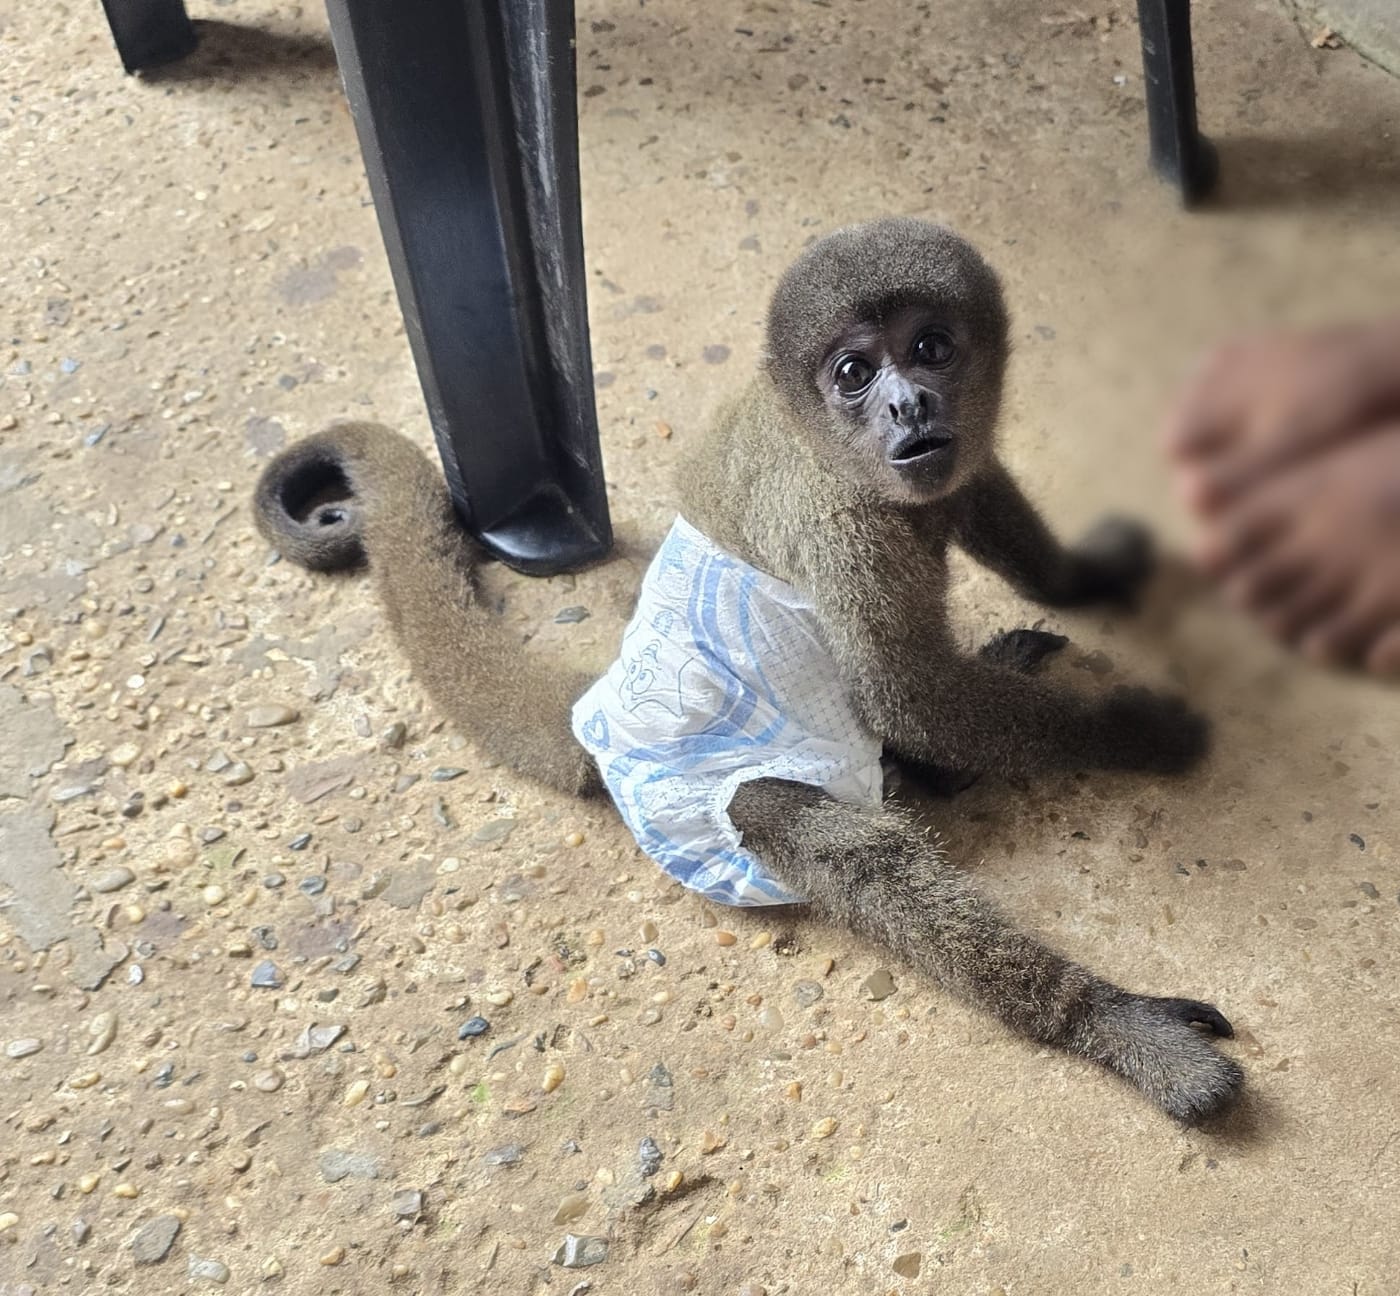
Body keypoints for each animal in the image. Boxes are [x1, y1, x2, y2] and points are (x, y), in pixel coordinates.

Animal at [253, 218, 1242, 1122]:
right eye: (853, 373)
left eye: (930, 347)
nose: (910, 407)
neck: (826, 446)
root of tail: (599, 708)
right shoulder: (837, 524)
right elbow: (910, 696)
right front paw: (1140, 734)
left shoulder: (938, 474)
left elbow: (978, 501)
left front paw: (1087, 576)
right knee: (832, 842)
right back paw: (1111, 1022)